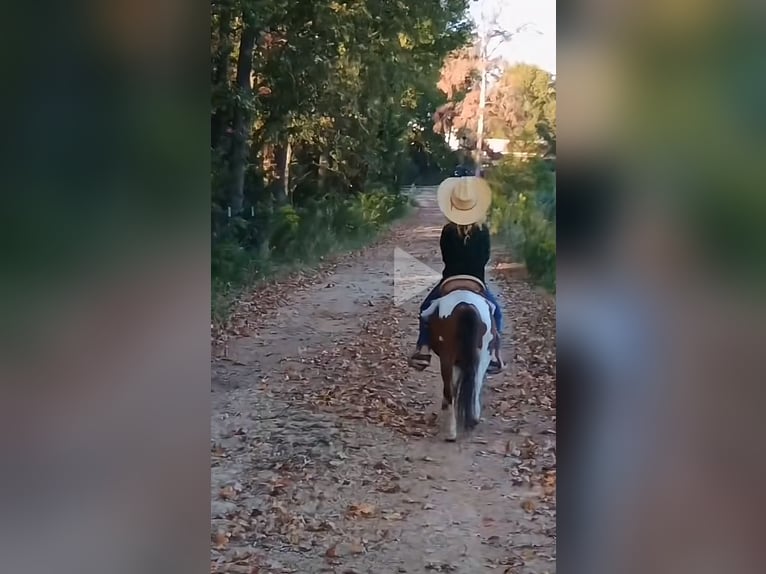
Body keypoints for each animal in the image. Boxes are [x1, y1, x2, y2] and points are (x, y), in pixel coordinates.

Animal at [424, 276, 496, 444]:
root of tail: (465, 305)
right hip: (483, 354)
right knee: (475, 381)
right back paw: (469, 421)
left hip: (449, 356)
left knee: (451, 389)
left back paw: (452, 431)